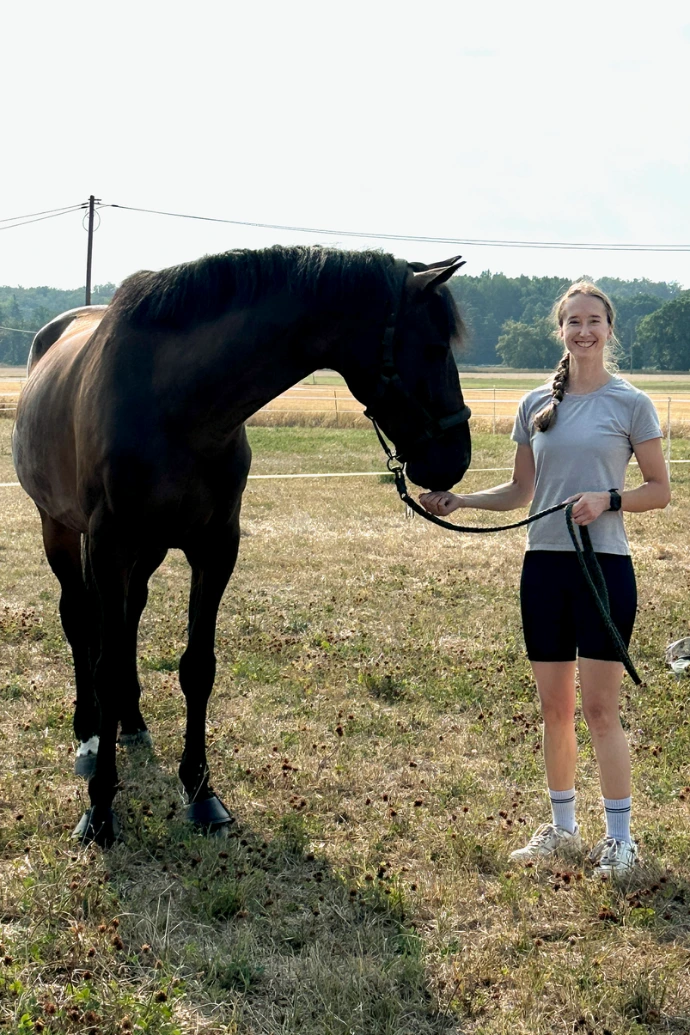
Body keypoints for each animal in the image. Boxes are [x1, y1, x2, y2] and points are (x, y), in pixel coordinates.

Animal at [12, 245, 472, 846]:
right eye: (435, 348)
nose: (456, 458)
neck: (176, 402)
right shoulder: (109, 544)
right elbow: (106, 665)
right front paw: (100, 810)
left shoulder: (215, 547)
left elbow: (197, 667)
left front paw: (201, 792)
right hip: (63, 533)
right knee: (79, 622)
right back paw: (89, 736)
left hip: (145, 552)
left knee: (128, 619)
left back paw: (132, 724)